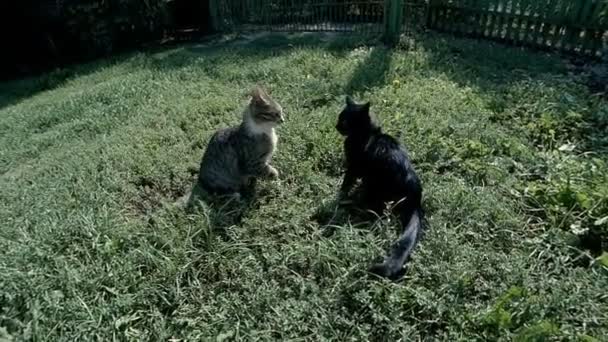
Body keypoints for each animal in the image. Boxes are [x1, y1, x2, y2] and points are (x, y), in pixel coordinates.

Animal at [334, 95, 426, 280]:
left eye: (344, 121)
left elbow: (346, 184)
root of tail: (415, 199)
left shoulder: (353, 167)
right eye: (340, 117)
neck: (367, 133)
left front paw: (340, 196)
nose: (336, 126)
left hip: (375, 187)